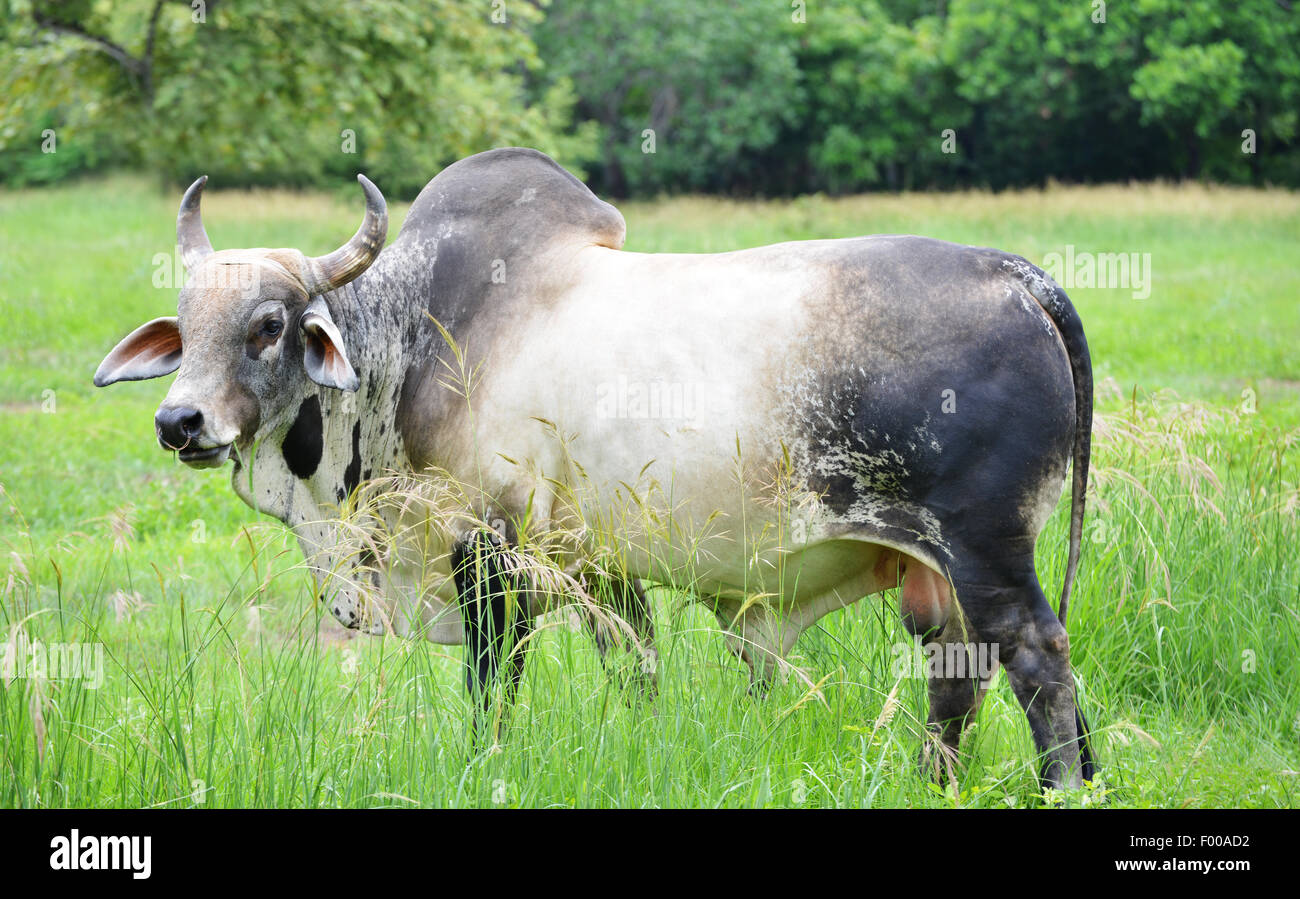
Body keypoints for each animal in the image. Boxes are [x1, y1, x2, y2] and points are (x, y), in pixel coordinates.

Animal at [96, 147, 1097, 784]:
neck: (414, 344)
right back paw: (941, 782)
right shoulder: (600, 567)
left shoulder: (484, 554)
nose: (180, 421)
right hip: (934, 575)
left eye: (268, 325)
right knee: (957, 674)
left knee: (1038, 659)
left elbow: (491, 691)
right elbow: (638, 671)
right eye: (185, 325)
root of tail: (1013, 273)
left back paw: (1062, 784)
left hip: (985, 549)